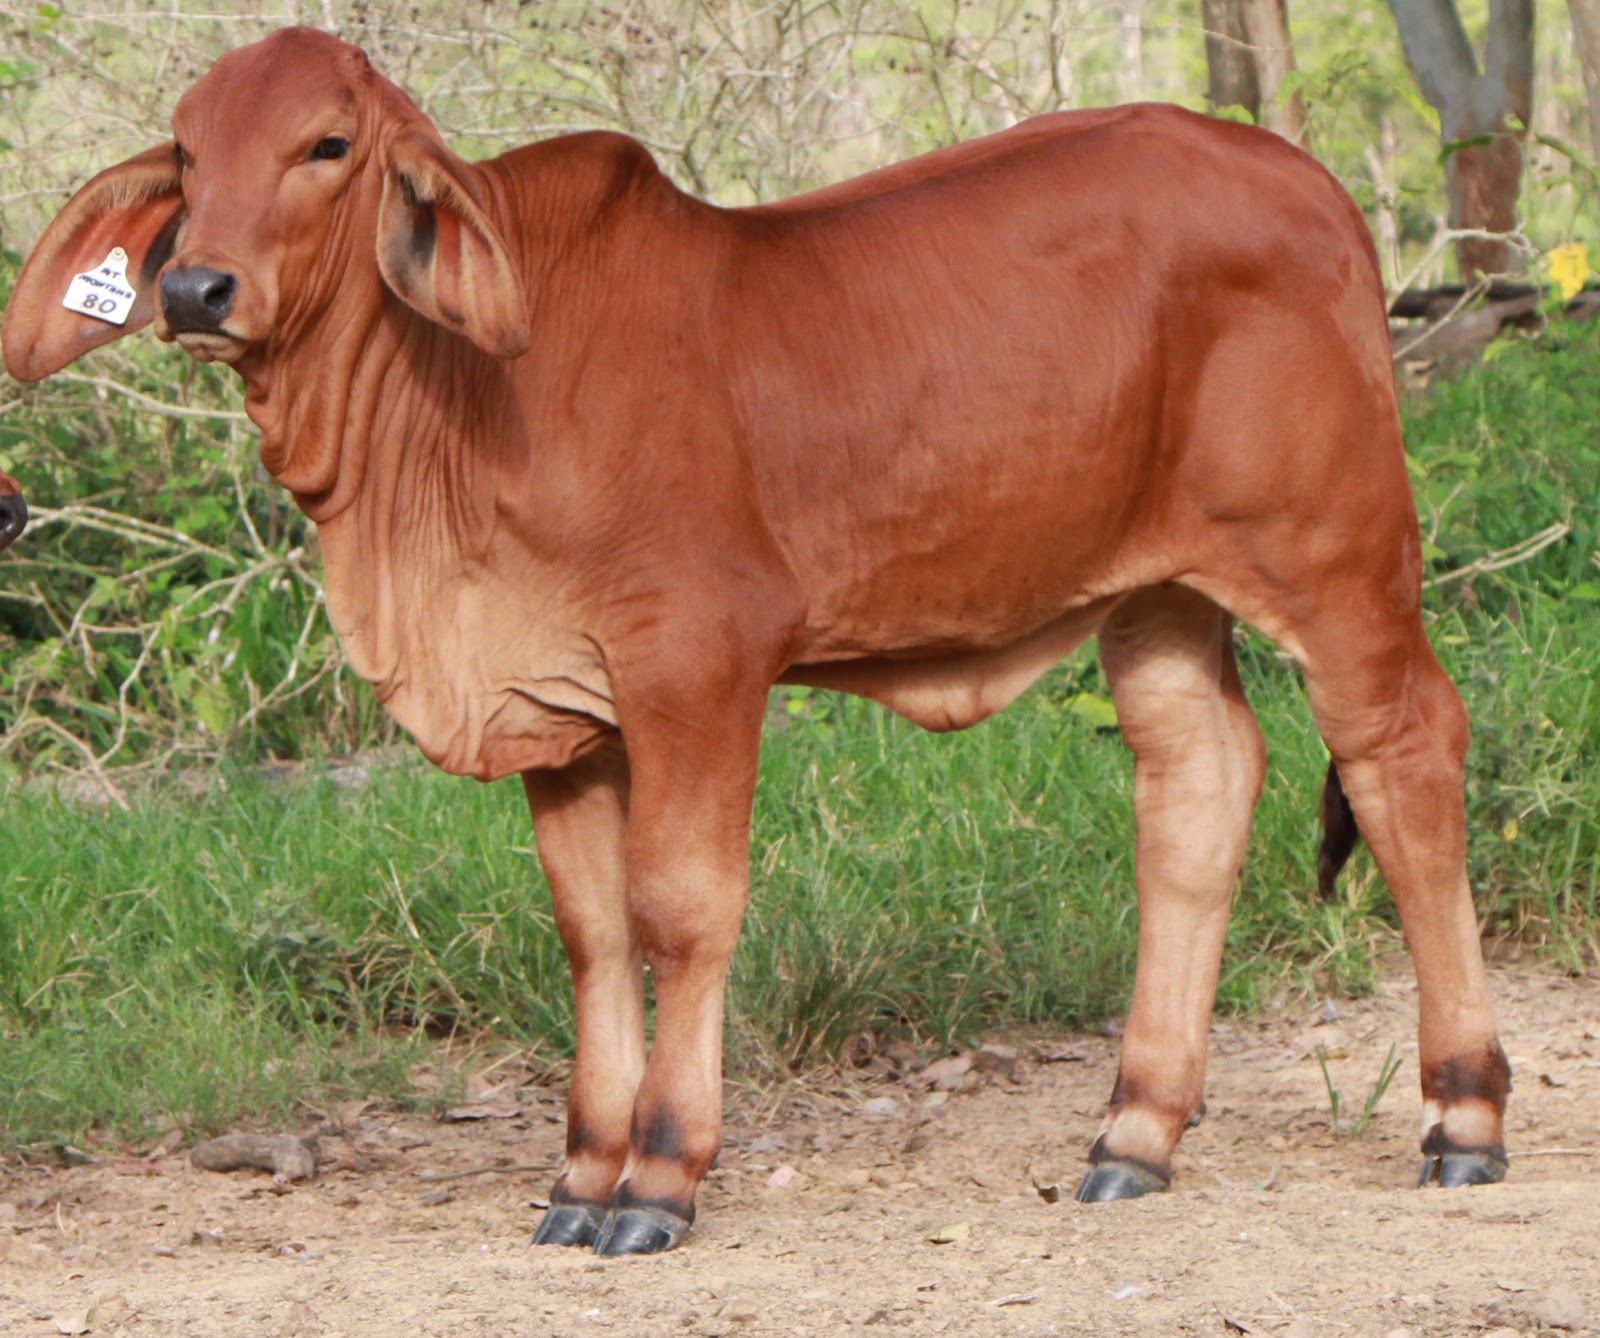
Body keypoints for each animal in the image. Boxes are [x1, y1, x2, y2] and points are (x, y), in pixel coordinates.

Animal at [2, 28, 1510, 1256]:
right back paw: (1135, 1135)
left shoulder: (697, 663)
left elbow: (681, 905)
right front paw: (579, 1175)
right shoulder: (563, 710)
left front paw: (661, 1177)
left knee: (1402, 757)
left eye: (325, 144)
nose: (194, 289)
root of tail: (1309, 182)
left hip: (1336, 560)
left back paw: (1463, 1114)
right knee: (1197, 786)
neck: (453, 413)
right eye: (188, 150)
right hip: (1155, 597)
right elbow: (591, 931)